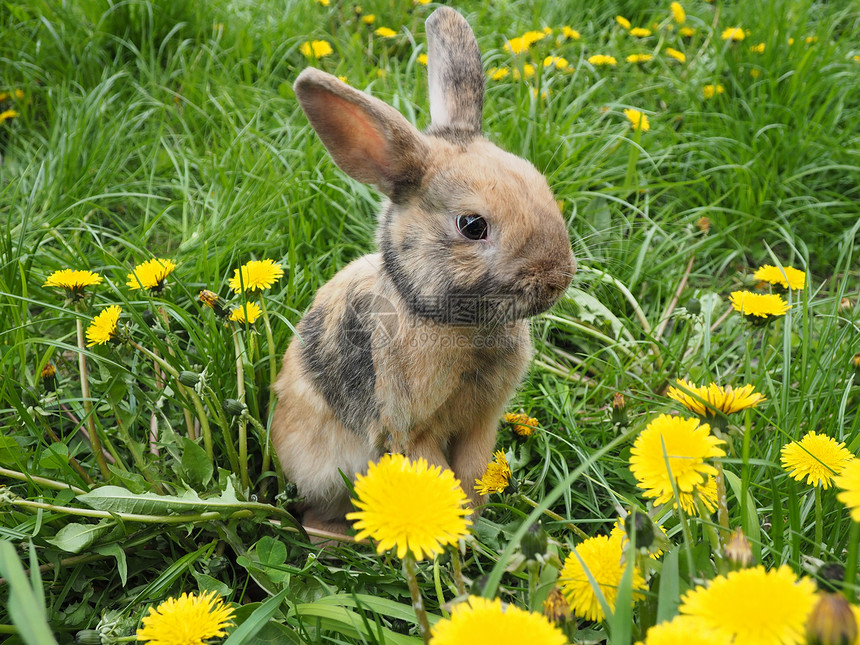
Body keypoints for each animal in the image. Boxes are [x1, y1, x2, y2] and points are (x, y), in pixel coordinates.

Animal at [272, 6, 576, 532]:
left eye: (540, 183)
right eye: (472, 226)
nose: (559, 277)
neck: (453, 320)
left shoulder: (482, 421)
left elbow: (473, 470)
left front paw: (472, 521)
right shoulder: (411, 428)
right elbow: (437, 476)